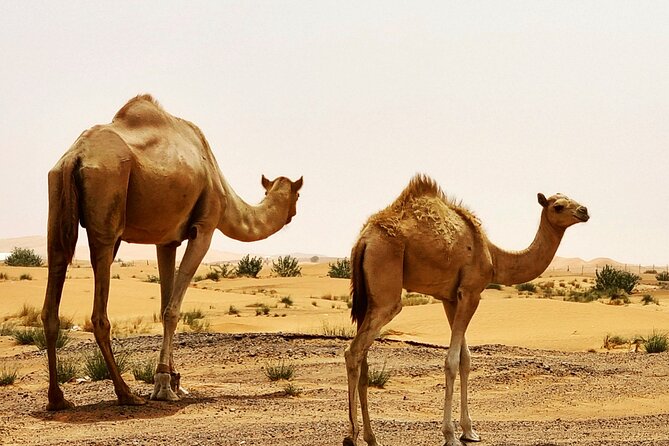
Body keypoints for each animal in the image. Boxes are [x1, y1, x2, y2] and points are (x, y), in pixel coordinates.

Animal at [42, 94, 303, 411]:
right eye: (297, 194)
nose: (294, 213)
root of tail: (75, 156)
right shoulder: (204, 228)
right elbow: (173, 309)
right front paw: (165, 384)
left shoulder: (165, 240)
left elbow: (165, 302)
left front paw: (173, 380)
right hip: (107, 205)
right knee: (99, 313)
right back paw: (126, 393)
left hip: (56, 203)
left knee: (53, 288)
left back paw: (57, 399)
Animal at [343, 174, 589, 446]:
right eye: (559, 206)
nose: (584, 211)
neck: (493, 256)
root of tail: (364, 241)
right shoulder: (471, 292)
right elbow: (452, 361)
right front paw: (450, 434)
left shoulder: (451, 298)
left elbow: (466, 359)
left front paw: (469, 430)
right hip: (387, 285)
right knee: (353, 351)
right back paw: (352, 436)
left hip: (369, 298)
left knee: (363, 357)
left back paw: (371, 437)